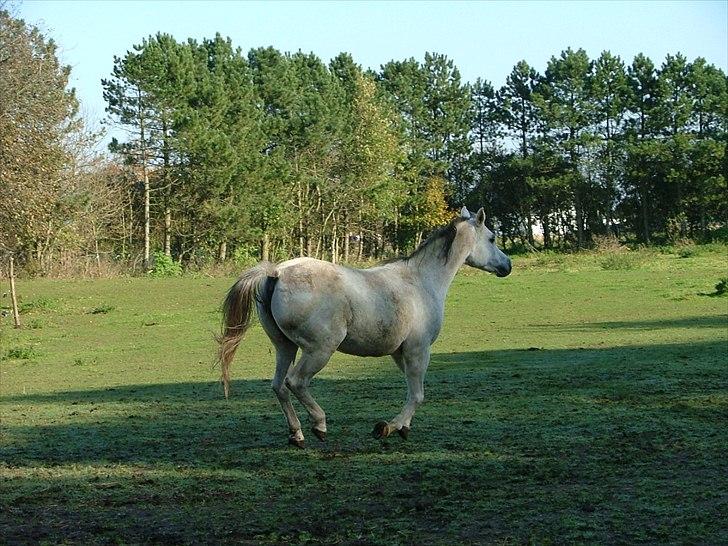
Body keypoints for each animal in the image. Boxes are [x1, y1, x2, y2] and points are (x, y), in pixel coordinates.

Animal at [216, 206, 512, 444]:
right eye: (492, 238)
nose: (507, 265)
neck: (421, 282)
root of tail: (276, 272)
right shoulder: (418, 349)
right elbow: (417, 394)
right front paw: (389, 428)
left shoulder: (400, 353)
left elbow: (412, 390)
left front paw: (402, 427)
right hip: (319, 350)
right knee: (295, 382)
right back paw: (319, 426)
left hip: (284, 347)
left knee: (278, 386)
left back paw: (297, 435)